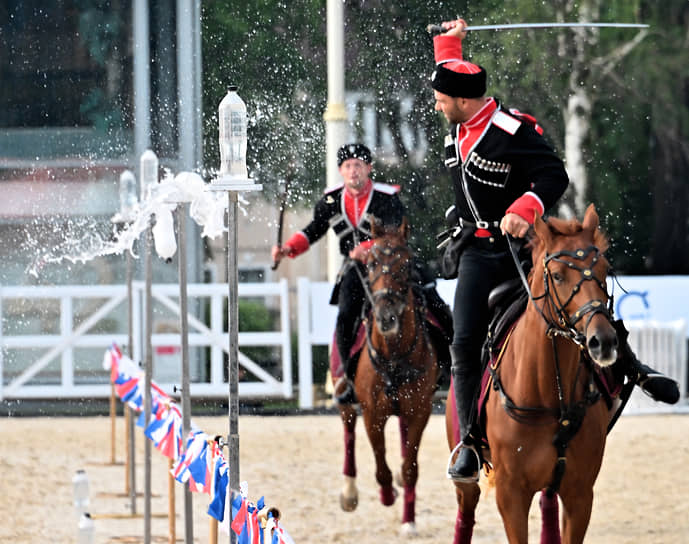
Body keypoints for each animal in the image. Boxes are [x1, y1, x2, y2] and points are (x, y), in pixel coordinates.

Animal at [334, 218, 440, 536]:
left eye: (407, 264)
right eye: (370, 264)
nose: (386, 316)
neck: (394, 356)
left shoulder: (419, 410)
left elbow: (410, 467)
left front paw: (408, 515)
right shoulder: (373, 413)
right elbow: (381, 466)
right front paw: (386, 493)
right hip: (345, 395)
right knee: (348, 429)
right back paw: (350, 492)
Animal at [446, 205, 620, 544]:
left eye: (605, 270)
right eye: (558, 275)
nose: (603, 341)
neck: (549, 394)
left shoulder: (580, 495)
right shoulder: (511, 495)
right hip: (466, 475)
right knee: (465, 513)